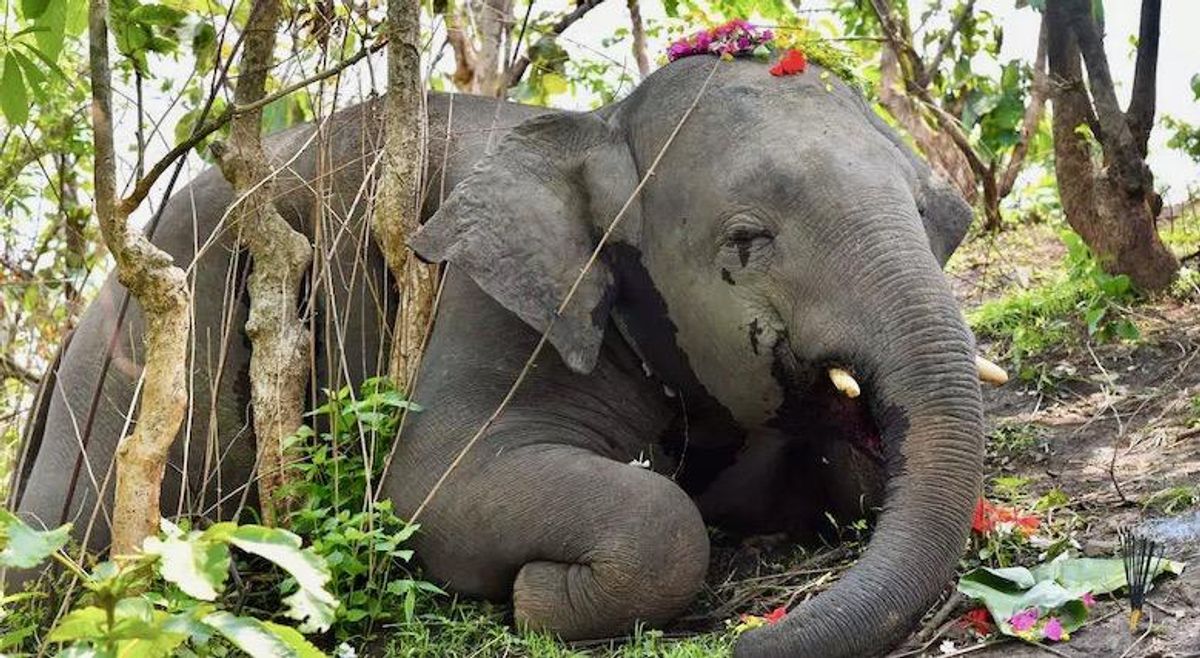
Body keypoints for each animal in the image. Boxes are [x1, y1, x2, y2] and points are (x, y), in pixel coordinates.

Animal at [10, 55, 987, 657]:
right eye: (747, 241)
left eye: (940, 217)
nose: (754, 636)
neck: (597, 126)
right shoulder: (487, 304)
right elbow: (434, 487)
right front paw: (538, 599)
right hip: (133, 367)